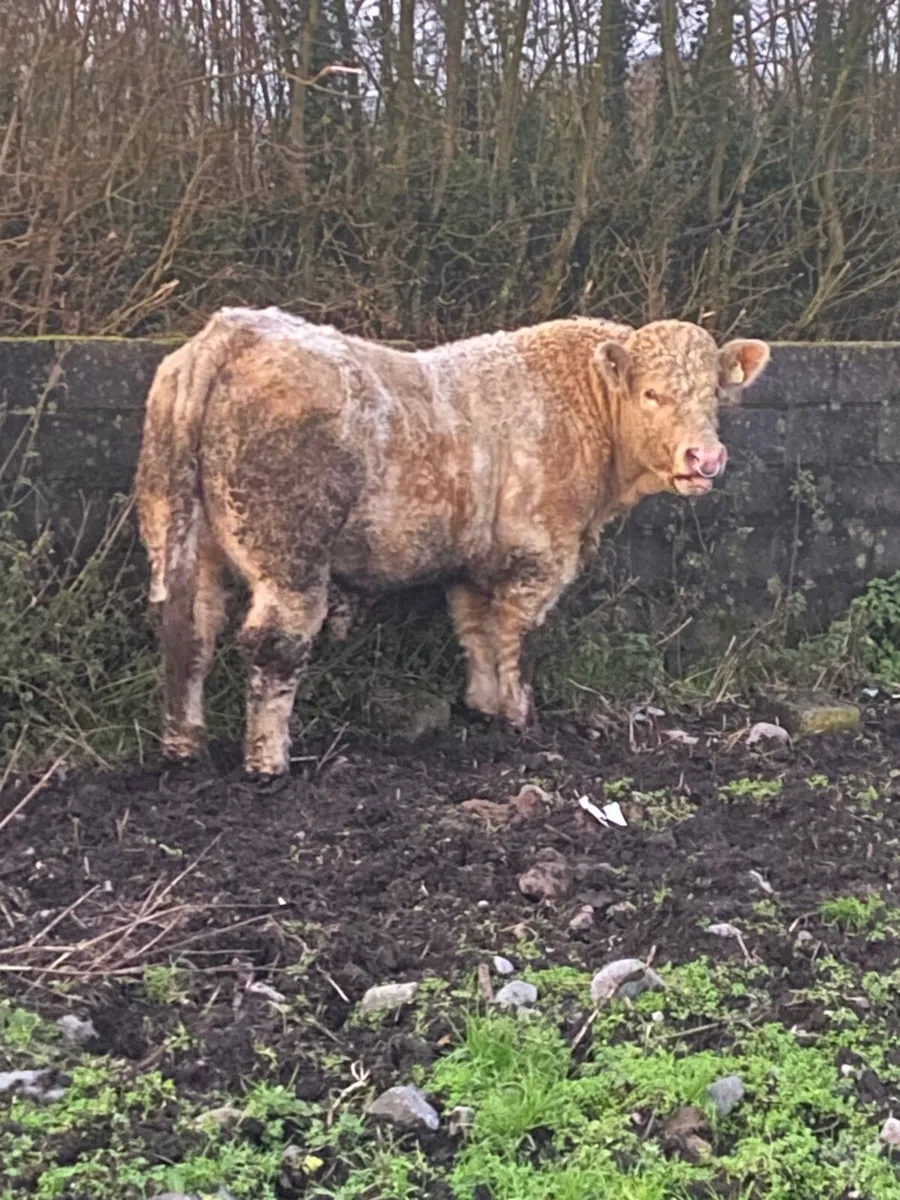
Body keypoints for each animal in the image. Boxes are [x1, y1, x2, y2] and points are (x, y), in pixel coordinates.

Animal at [135, 306, 770, 778]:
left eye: (715, 395)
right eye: (651, 394)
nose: (705, 458)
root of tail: (234, 331)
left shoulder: (472, 563)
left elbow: (475, 632)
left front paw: (482, 705)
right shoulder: (539, 555)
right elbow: (516, 635)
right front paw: (517, 717)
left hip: (181, 533)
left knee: (188, 630)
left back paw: (184, 746)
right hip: (289, 554)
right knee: (273, 644)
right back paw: (268, 761)